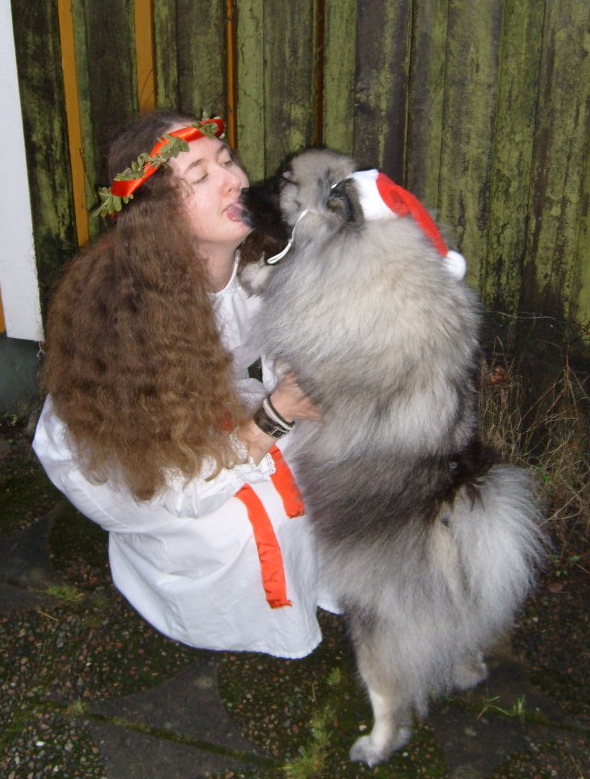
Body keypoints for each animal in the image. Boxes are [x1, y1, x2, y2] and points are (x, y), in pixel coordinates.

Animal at [238, 152, 548, 768]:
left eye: (282, 182)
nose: (238, 194)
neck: (352, 243)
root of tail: (449, 513)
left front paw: (255, 274)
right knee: (460, 648)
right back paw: (465, 669)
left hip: (374, 630)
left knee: (393, 696)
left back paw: (375, 746)